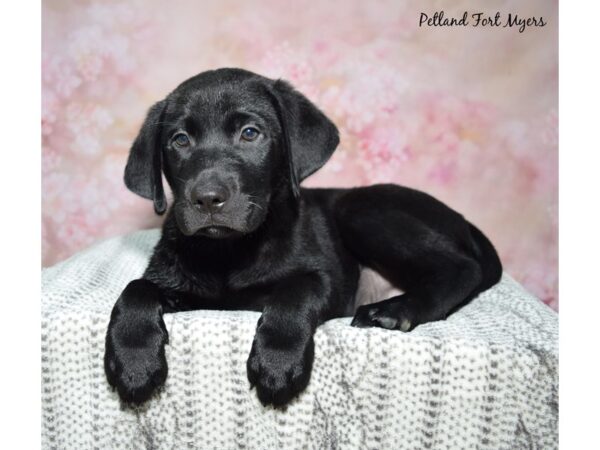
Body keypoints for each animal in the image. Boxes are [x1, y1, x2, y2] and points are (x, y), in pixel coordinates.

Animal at [103, 67, 502, 408]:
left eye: (250, 133)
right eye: (180, 140)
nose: (207, 198)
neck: (230, 251)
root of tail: (464, 221)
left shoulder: (326, 278)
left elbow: (294, 292)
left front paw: (277, 361)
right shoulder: (175, 284)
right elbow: (135, 289)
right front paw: (134, 361)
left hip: (361, 209)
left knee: (463, 269)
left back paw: (393, 311)